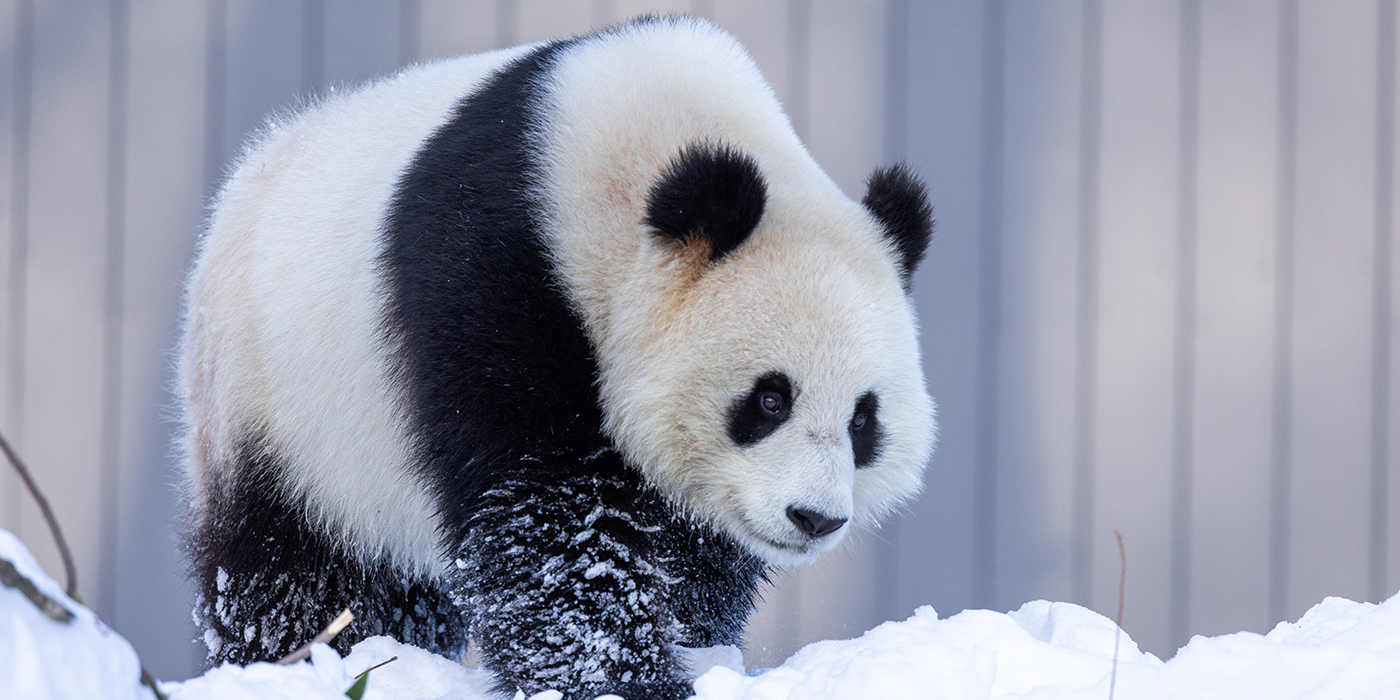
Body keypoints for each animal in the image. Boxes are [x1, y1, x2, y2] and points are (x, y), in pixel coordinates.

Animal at [180, 12, 935, 700]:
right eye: (770, 399)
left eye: (863, 420)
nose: (815, 518)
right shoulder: (497, 277)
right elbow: (548, 515)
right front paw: (626, 680)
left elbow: (694, 550)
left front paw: (697, 643)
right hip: (283, 407)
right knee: (292, 570)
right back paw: (300, 659)